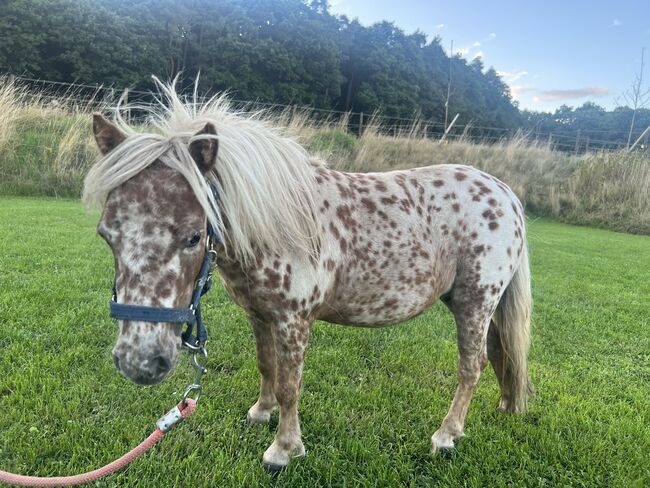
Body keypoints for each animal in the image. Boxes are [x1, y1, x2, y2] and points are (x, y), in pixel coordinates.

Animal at [83, 79, 532, 468]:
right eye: (106, 234)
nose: (140, 362)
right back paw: (505, 406)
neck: (277, 225)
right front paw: (260, 413)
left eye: (194, 236)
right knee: (499, 354)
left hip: (475, 302)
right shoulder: (259, 314)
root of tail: (506, 194)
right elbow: (266, 365)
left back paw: (446, 435)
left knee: (471, 367)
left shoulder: (294, 320)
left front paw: (283, 450)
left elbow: (289, 385)